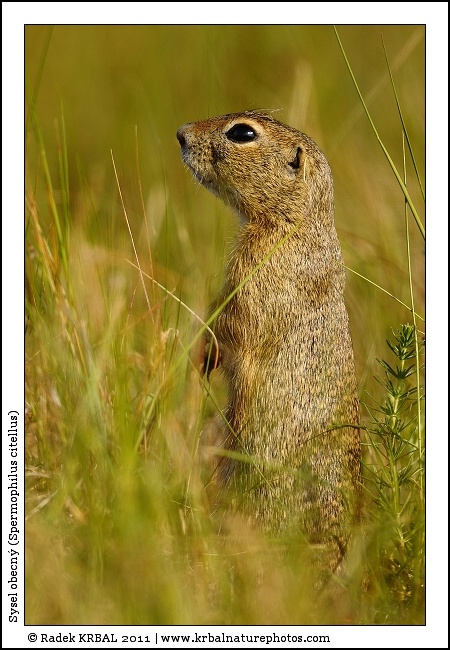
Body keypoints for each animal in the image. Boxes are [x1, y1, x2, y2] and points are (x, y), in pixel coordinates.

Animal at [177, 111, 361, 573]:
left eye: (242, 133)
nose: (181, 134)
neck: (294, 224)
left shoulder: (253, 282)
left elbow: (232, 327)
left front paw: (201, 354)